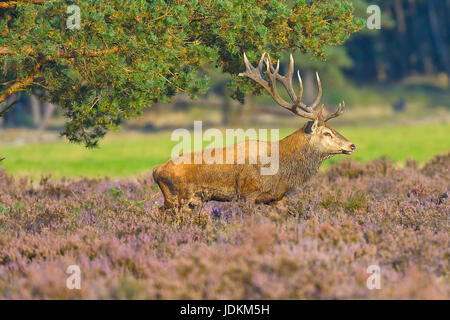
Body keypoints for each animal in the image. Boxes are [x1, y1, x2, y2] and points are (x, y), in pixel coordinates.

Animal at [153, 52, 356, 209]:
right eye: (326, 133)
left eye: (332, 129)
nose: (352, 145)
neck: (282, 171)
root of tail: (156, 170)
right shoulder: (247, 193)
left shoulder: (276, 197)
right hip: (177, 198)